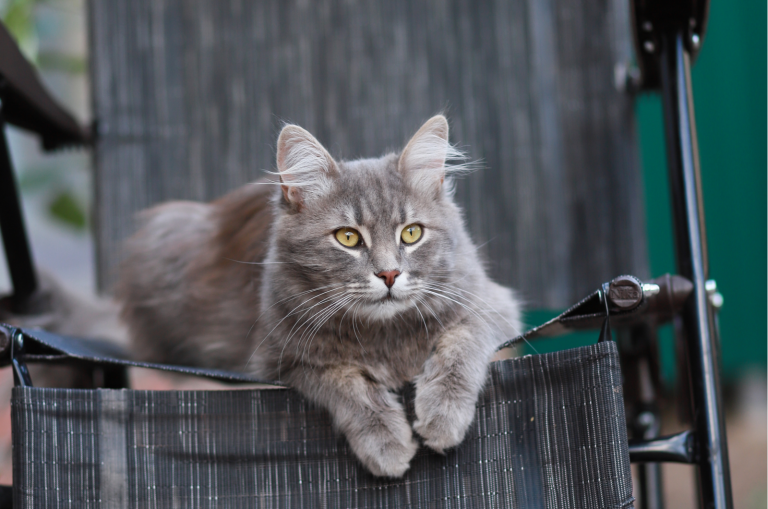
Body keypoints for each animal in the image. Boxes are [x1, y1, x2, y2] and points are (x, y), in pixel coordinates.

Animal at [118, 115, 520, 476]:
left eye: (411, 233)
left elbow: (461, 344)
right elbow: (346, 384)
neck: (384, 334)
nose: (389, 274)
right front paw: (386, 443)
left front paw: (443, 417)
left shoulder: (493, 305)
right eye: (348, 238)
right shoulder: (284, 358)